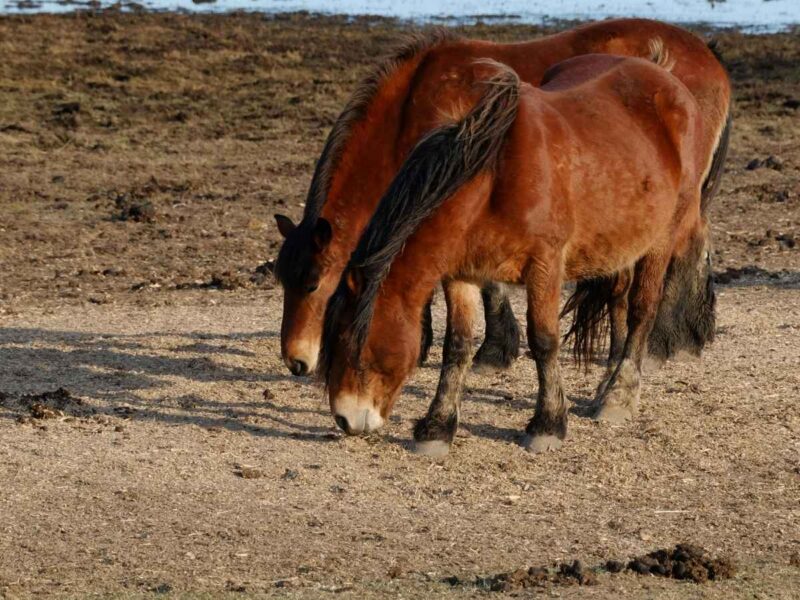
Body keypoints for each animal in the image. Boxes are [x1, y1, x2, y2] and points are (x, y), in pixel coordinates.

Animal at [273, 19, 731, 380]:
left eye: (313, 283)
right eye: (283, 281)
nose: (296, 361)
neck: (415, 102)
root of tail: (706, 54)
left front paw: (490, 349)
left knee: (686, 246)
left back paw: (666, 344)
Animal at [320, 51, 718, 456]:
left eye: (354, 345)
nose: (345, 419)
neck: (494, 178)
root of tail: (666, 77)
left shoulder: (545, 266)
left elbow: (543, 340)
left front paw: (548, 424)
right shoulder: (461, 273)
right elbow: (457, 346)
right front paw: (437, 427)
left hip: (661, 239)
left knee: (641, 309)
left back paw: (618, 397)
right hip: (619, 244)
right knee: (619, 303)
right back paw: (604, 386)